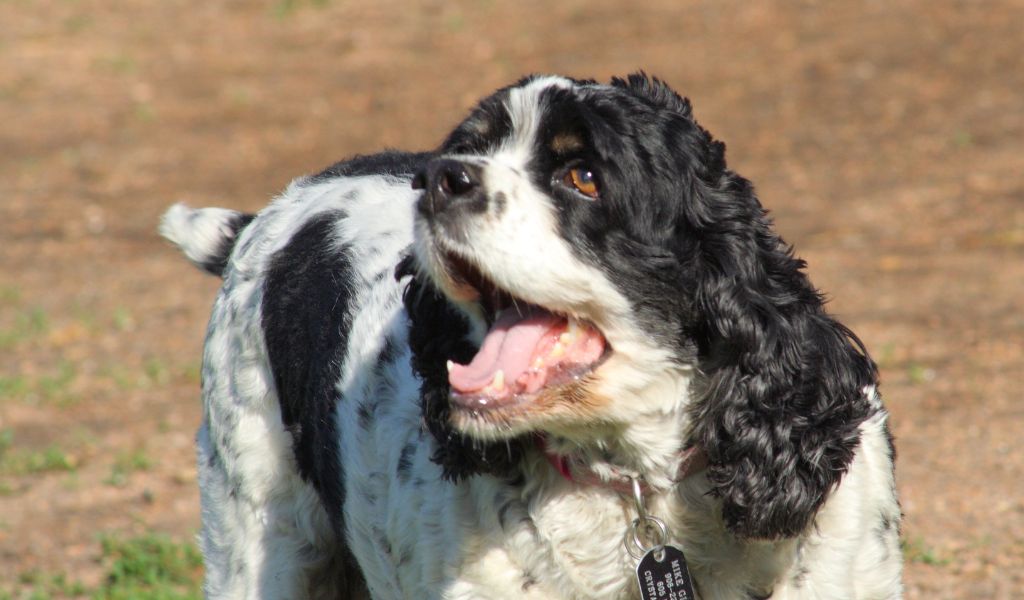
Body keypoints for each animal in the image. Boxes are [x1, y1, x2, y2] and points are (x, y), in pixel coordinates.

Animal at [159, 74, 905, 597]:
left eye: (584, 176)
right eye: (470, 147)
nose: (438, 178)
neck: (640, 483)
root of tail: (263, 216)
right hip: (257, 533)